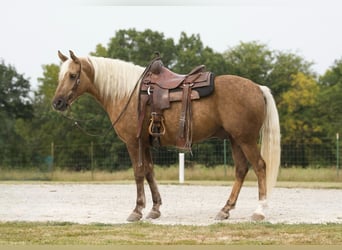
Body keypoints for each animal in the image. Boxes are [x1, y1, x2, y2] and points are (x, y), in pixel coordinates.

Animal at [52, 49, 280, 222]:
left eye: (72, 75)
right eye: (60, 76)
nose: (57, 103)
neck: (128, 94)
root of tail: (258, 88)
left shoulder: (133, 142)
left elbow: (138, 172)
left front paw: (137, 211)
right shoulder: (145, 142)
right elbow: (150, 172)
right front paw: (155, 209)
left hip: (246, 139)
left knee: (260, 167)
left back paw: (259, 211)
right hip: (235, 139)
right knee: (241, 169)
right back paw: (225, 210)